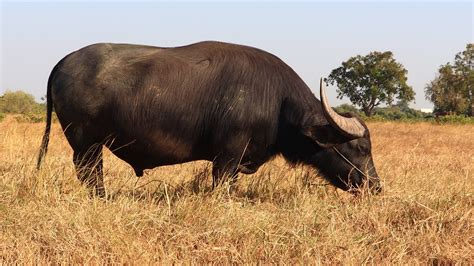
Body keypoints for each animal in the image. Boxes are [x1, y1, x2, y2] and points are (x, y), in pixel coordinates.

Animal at [38, 40, 386, 196]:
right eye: (362, 149)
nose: (376, 186)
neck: (278, 103)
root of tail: (65, 61)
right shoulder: (227, 158)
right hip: (87, 145)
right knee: (91, 174)